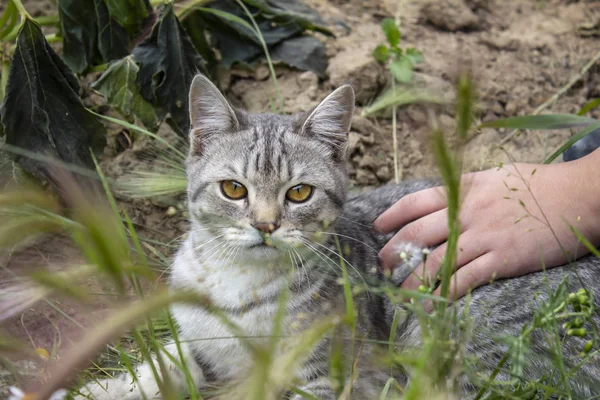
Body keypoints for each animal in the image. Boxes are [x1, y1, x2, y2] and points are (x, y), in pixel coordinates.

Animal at [82, 76, 600, 400]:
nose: (265, 225)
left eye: (299, 193)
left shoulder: (319, 374)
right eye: (234, 189)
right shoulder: (201, 346)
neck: (239, 285)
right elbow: (155, 367)